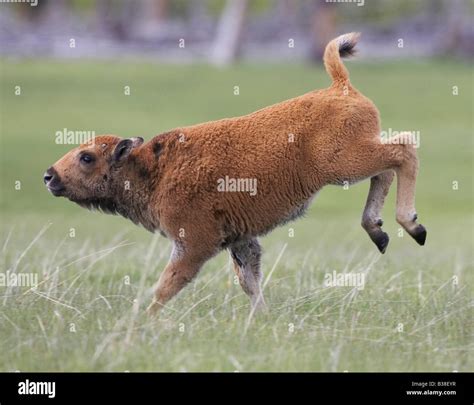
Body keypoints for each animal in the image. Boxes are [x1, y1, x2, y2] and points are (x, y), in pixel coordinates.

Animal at [44, 33, 426, 314]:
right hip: (353, 161)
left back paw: (412, 225)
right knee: (387, 167)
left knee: (403, 150)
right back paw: (379, 232)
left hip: (342, 164)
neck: (153, 168)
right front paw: (261, 318)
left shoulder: (193, 243)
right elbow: (249, 279)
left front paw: (143, 321)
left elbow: (168, 285)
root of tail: (339, 87)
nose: (49, 176)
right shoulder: (240, 240)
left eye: (86, 157)